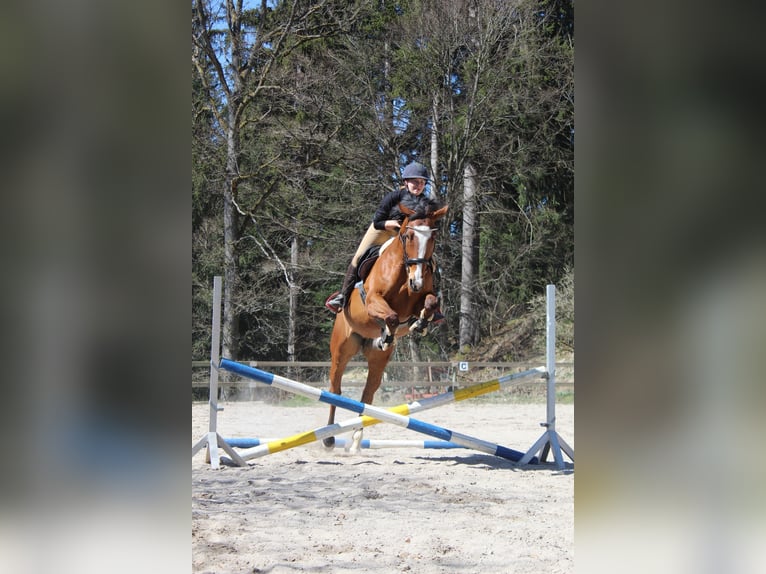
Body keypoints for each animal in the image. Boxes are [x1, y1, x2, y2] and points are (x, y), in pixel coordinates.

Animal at [324, 203, 449, 452]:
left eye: (432, 237)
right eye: (408, 236)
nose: (416, 281)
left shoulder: (421, 299)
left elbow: (429, 303)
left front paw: (420, 324)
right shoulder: (373, 301)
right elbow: (391, 316)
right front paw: (388, 334)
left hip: (377, 360)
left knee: (367, 394)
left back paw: (355, 440)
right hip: (341, 350)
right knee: (335, 389)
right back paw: (329, 438)